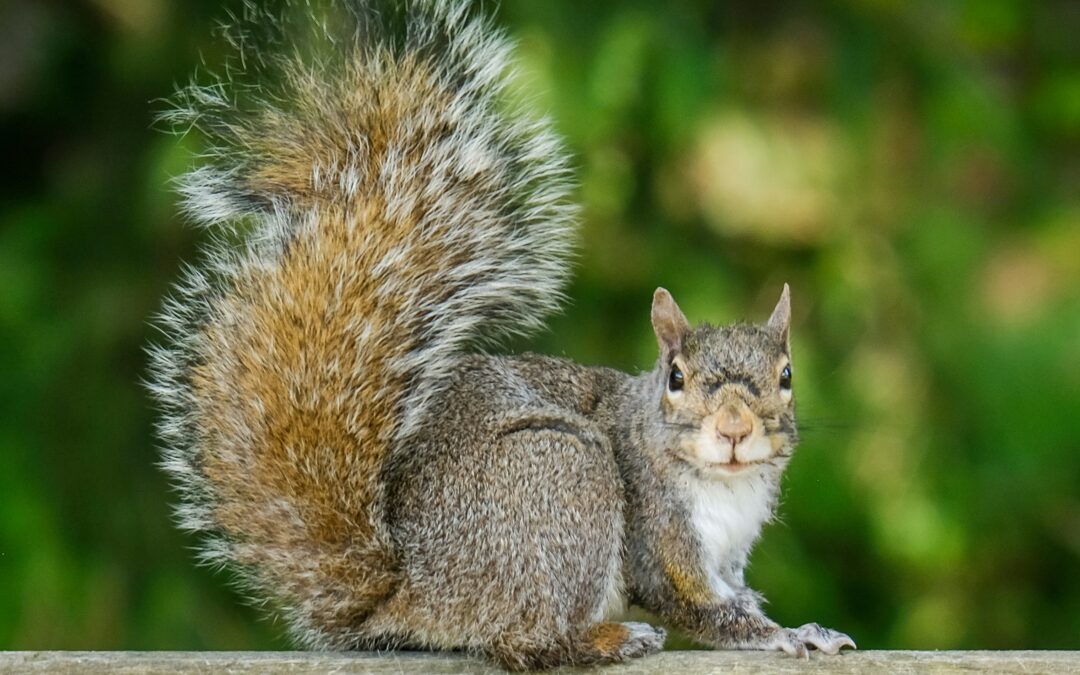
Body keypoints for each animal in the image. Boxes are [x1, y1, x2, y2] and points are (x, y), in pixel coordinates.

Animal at [148, 0, 856, 670]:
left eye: (786, 376)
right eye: (676, 377)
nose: (735, 429)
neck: (725, 487)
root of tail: (413, 591)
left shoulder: (727, 557)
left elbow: (734, 594)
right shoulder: (659, 538)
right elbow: (700, 608)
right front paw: (788, 636)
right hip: (564, 472)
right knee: (527, 643)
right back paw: (608, 639)